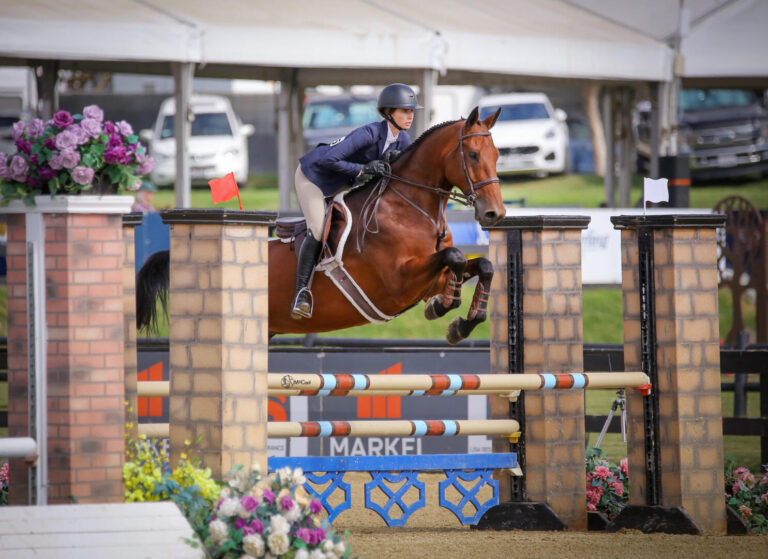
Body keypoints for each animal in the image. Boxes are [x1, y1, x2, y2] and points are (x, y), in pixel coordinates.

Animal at [138, 104, 508, 342]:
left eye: (497, 155)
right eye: (473, 155)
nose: (495, 214)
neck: (410, 206)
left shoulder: (425, 281)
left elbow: (483, 265)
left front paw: (458, 322)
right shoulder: (397, 282)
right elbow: (455, 257)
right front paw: (445, 306)